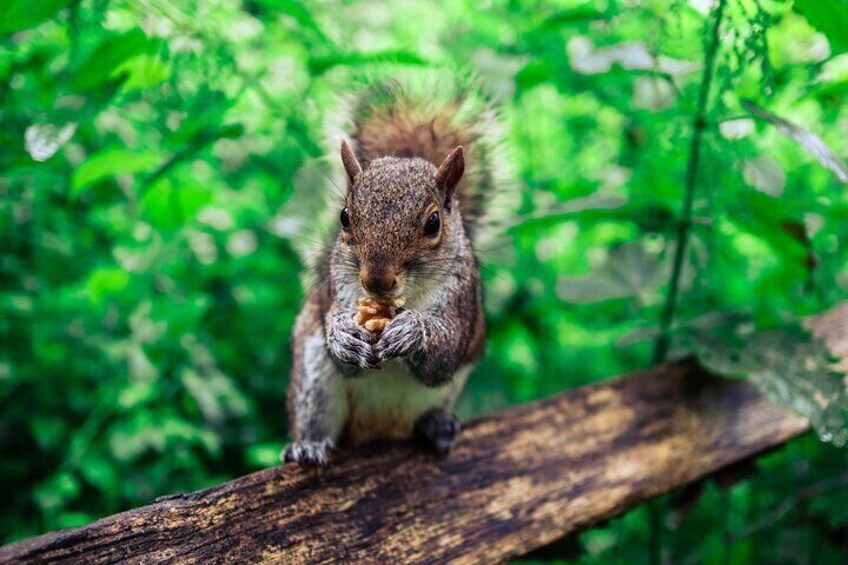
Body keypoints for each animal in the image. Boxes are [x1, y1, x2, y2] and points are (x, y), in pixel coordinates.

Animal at [284, 77, 510, 464]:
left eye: (433, 223)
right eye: (344, 217)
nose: (376, 281)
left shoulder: (462, 298)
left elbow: (444, 353)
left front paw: (411, 331)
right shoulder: (338, 286)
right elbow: (339, 343)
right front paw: (342, 334)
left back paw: (436, 426)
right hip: (313, 381)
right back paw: (309, 445)